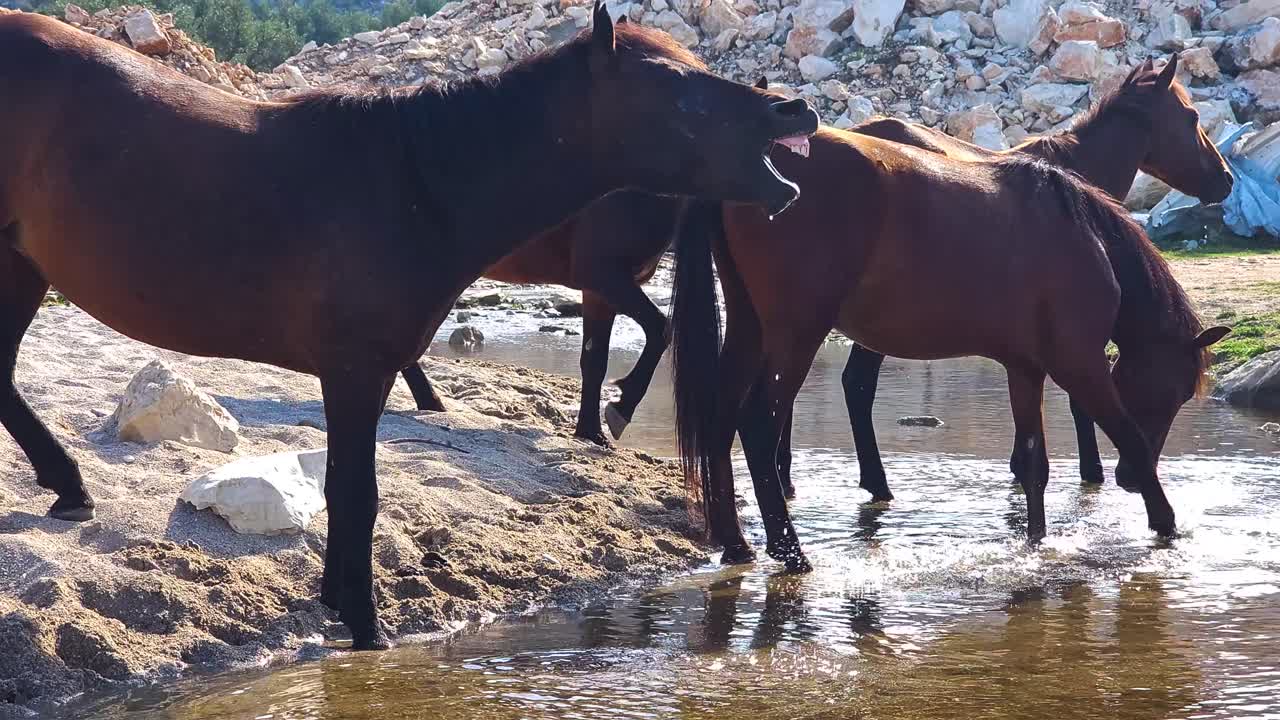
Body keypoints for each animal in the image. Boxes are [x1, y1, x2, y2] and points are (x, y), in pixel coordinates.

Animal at [0, 7, 818, 648]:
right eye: (678, 87)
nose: (795, 113)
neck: (416, 183)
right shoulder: (355, 368)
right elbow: (357, 494)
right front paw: (365, 627)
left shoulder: (364, 370)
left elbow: (346, 488)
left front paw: (340, 605)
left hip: (21, 267)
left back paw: (68, 484)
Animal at [670, 127, 1231, 571]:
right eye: (1176, 393)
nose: (1129, 481)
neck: (1083, 237)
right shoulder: (1081, 367)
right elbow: (1129, 435)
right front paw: (1166, 523)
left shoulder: (1025, 368)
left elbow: (1034, 463)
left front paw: (1035, 543)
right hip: (796, 334)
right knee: (758, 427)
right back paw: (789, 551)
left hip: (750, 327)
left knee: (721, 421)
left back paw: (736, 543)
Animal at [770, 54, 1235, 503]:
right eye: (1192, 117)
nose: (1226, 179)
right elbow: (1078, 403)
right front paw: (1089, 471)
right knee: (854, 385)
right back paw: (868, 482)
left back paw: (793, 477)